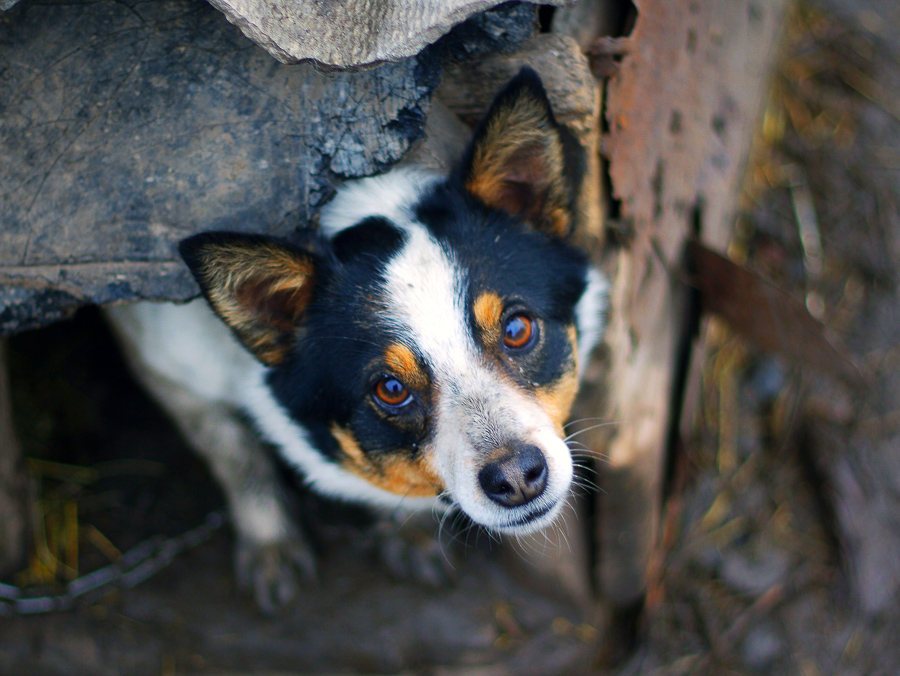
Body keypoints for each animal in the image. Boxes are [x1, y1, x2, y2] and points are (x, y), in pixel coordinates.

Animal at [107, 68, 612, 612]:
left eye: (518, 330)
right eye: (390, 389)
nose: (517, 477)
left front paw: (404, 528)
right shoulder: (164, 357)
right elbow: (235, 453)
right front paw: (270, 541)